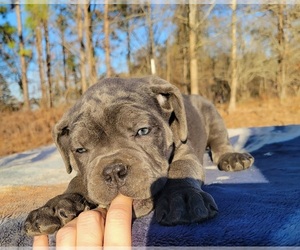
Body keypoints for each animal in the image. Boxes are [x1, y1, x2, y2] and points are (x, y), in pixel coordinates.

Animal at [24, 76, 253, 236]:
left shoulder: (184, 152)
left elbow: (181, 170)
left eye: (143, 131)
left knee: (220, 140)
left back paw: (232, 157)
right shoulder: (87, 174)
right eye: (80, 150)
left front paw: (182, 198)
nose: (113, 171)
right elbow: (77, 180)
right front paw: (53, 207)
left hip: (211, 112)